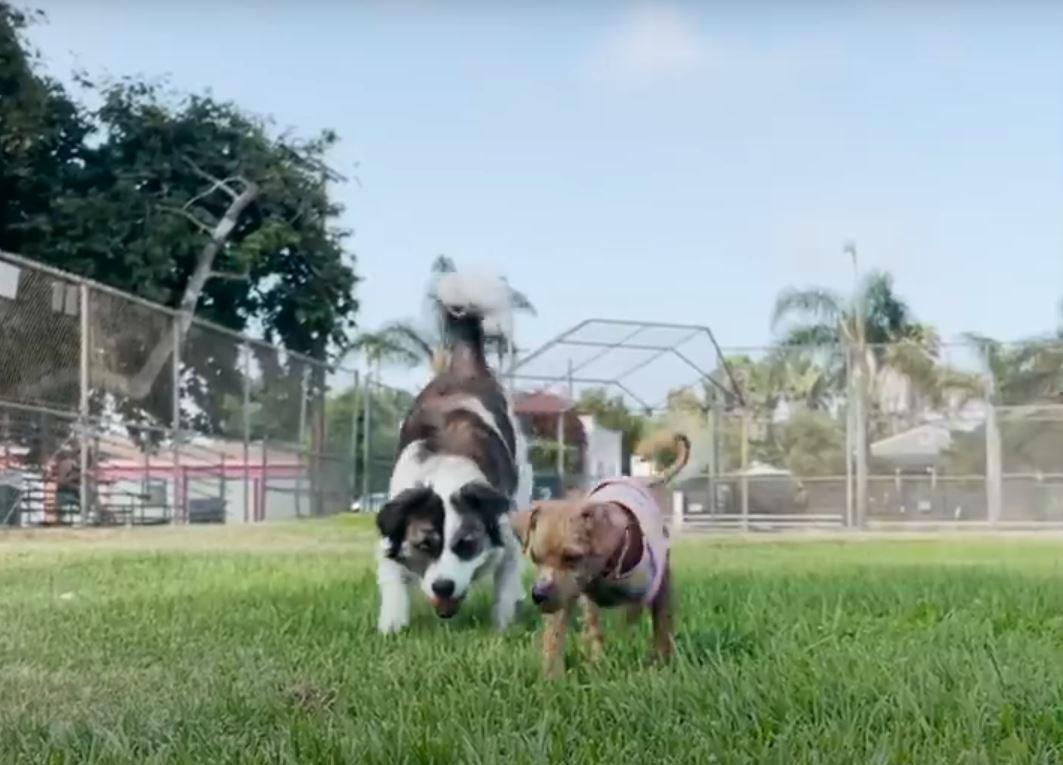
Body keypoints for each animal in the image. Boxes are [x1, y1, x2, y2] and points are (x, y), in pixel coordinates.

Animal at [378, 272, 535, 629]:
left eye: (466, 544)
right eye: (425, 545)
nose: (443, 586)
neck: (444, 470)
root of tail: (465, 366)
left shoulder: (505, 528)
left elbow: (507, 576)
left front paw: (502, 624)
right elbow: (392, 574)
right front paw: (392, 624)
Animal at [512, 433, 688, 680]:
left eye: (572, 557)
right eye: (535, 558)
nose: (538, 595)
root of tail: (638, 480)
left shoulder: (654, 586)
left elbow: (656, 622)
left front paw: (659, 660)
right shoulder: (567, 597)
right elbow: (555, 637)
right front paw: (552, 678)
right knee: (595, 629)